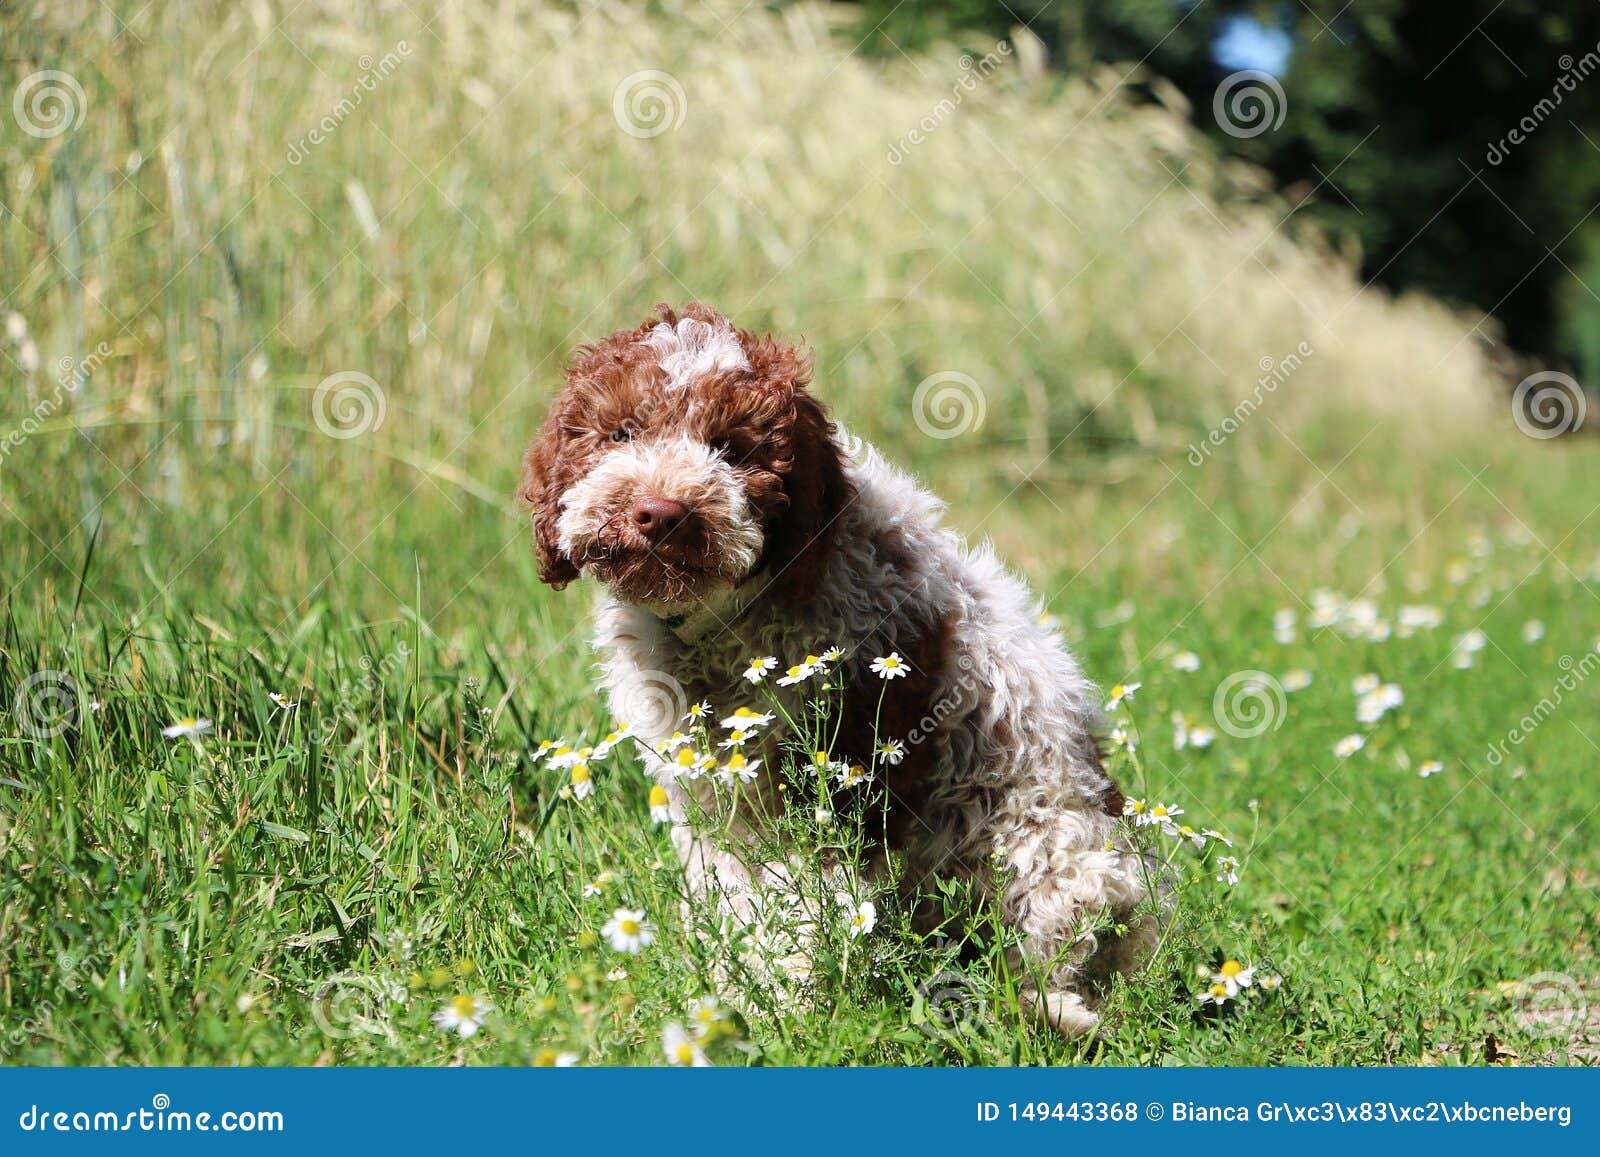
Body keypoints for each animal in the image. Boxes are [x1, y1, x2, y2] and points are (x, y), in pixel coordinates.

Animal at [524, 302, 1164, 1036]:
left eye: (733, 449)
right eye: (620, 432)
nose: (658, 514)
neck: (727, 618)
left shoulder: (845, 773)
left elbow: (804, 898)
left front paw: (782, 1003)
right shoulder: (713, 794)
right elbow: (730, 891)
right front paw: (726, 988)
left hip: (1051, 848)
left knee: (1057, 961)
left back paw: (1042, 1008)